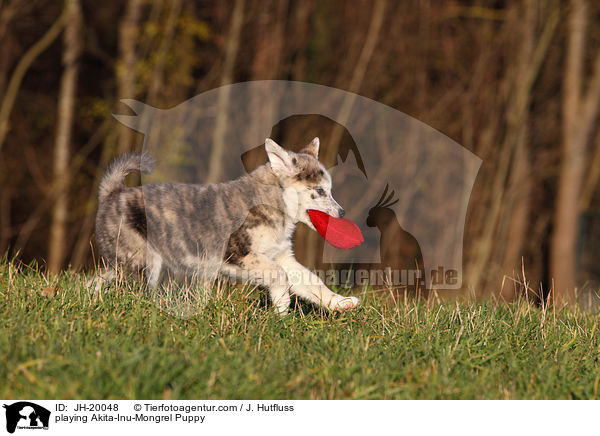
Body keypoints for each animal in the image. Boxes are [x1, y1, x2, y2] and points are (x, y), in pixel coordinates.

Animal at [95, 138, 360, 312]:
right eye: (320, 191)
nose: (342, 212)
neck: (274, 202)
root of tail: (114, 193)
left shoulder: (281, 255)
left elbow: (311, 281)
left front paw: (340, 302)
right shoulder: (238, 256)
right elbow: (280, 276)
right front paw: (282, 306)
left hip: (126, 262)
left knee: (99, 278)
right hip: (139, 262)